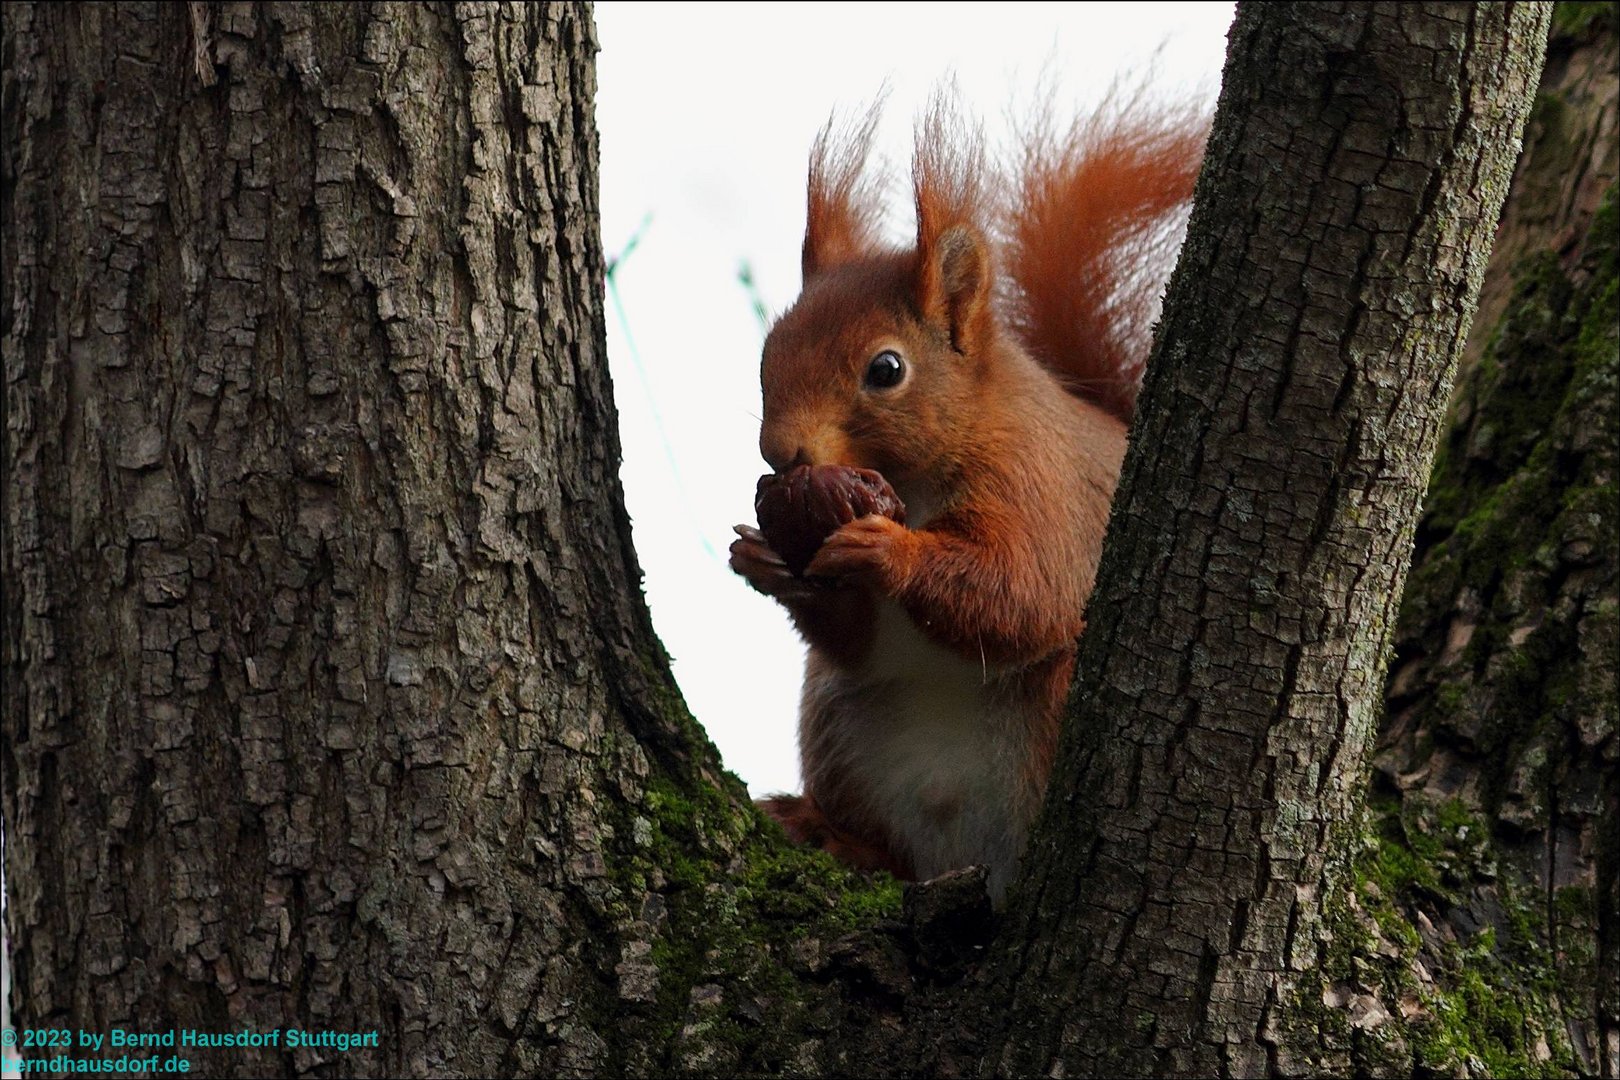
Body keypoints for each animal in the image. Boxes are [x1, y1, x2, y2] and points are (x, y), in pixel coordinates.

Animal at [732, 95, 1205, 906]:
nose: (780, 454)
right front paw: (761, 557)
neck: (913, 483)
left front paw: (886, 548)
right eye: (770, 353)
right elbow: (860, 640)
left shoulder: (1039, 488)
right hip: (838, 726)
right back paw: (832, 834)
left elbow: (1022, 591)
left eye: (887, 369)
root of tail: (962, 856)